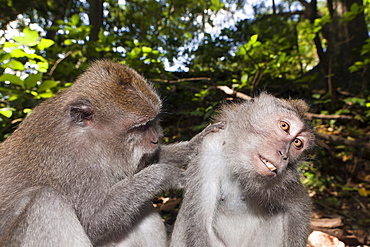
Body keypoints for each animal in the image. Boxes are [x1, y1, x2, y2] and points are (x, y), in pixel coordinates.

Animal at [0, 60, 223, 247]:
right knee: (45, 200)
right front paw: (166, 174)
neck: (90, 137)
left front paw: (194, 144)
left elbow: (149, 160)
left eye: (152, 121)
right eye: (140, 127)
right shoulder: (70, 163)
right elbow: (92, 222)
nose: (155, 139)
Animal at [169, 92, 314, 247]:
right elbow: (202, 226)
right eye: (284, 125)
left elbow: (298, 206)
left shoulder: (285, 179)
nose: (284, 155)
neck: (237, 163)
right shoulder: (208, 151)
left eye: (297, 143)